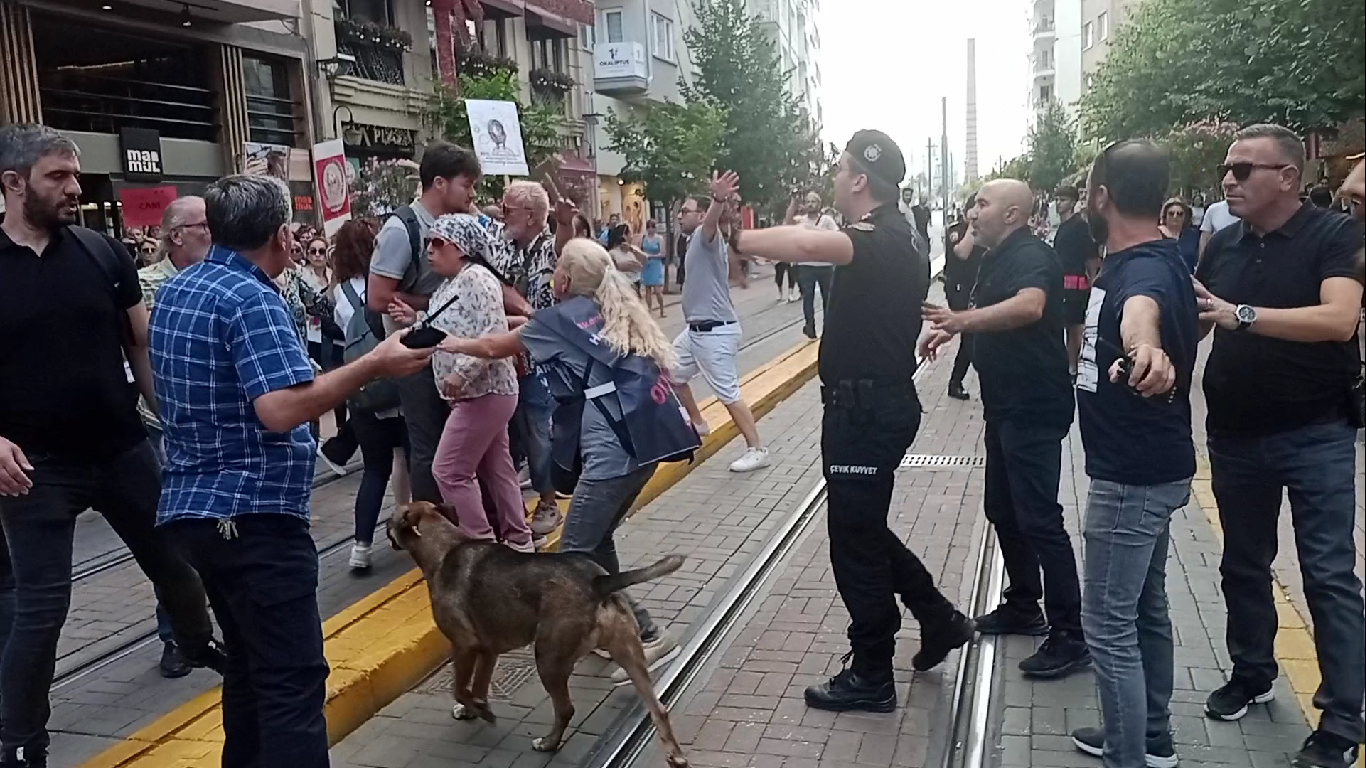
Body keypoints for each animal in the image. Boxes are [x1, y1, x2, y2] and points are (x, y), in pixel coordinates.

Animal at [387, 500, 688, 759]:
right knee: (658, 709)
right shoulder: (488, 651)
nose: (388, 528)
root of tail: (598, 582)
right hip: (629, 655)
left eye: (390, 519)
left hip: (548, 659)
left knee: (565, 709)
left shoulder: (464, 646)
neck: (444, 545)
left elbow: (460, 688)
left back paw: (548, 743)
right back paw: (675, 755)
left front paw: (481, 712)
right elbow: (479, 687)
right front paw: (477, 708)